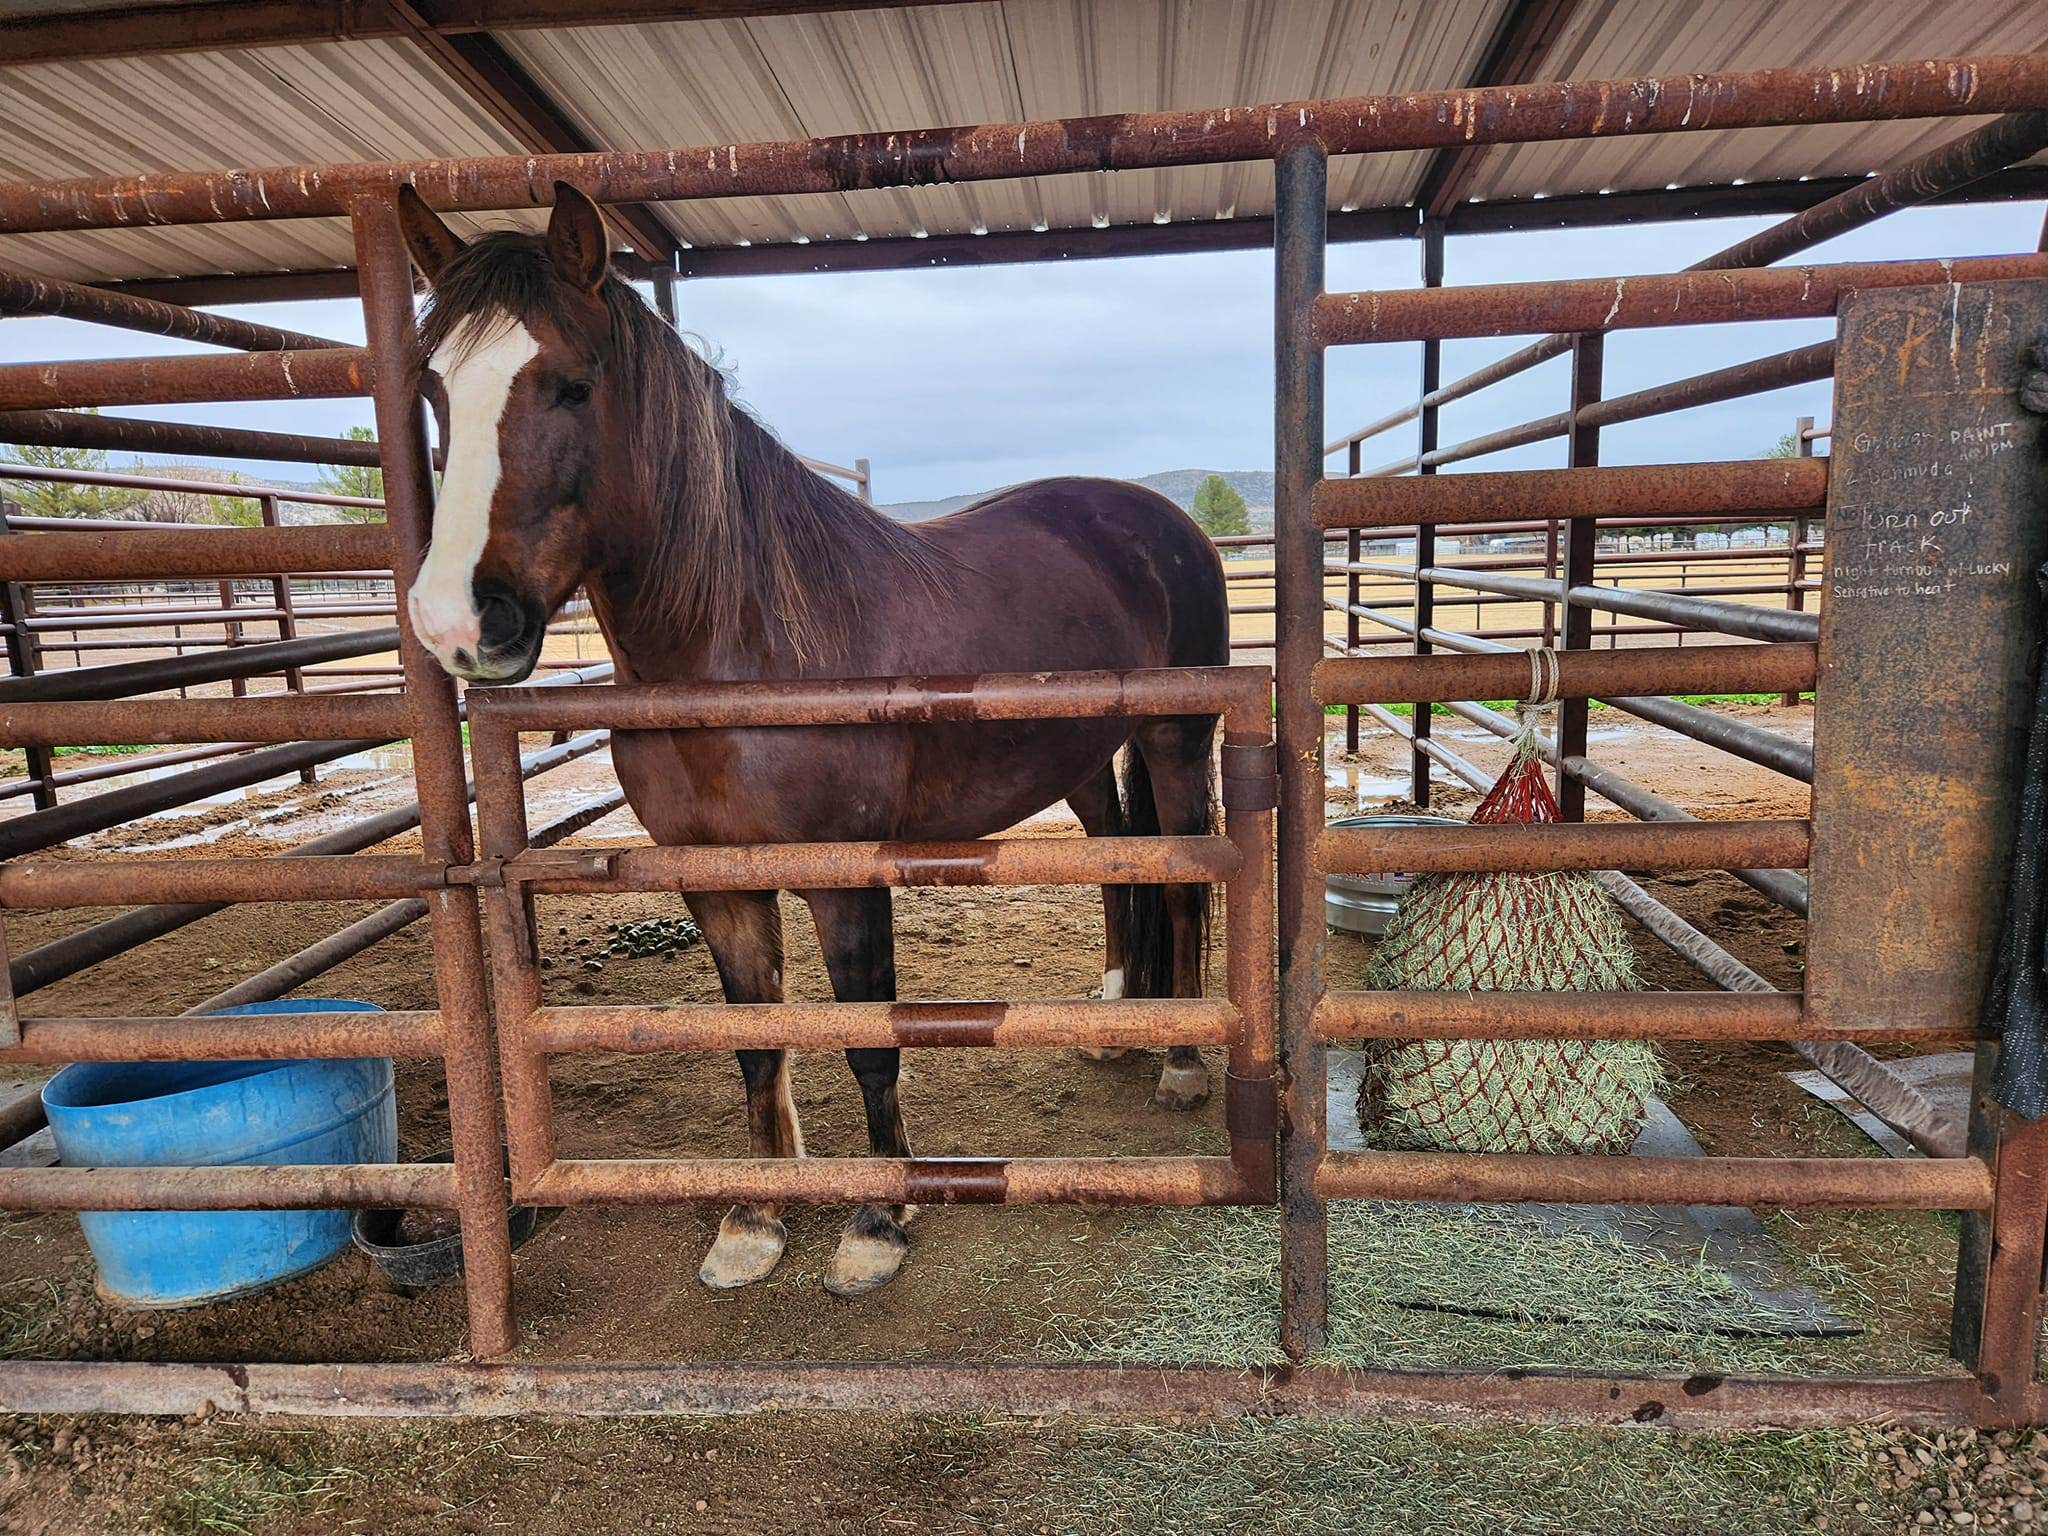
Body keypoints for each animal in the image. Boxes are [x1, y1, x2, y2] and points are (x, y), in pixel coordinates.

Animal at [395, 183, 1229, 1298]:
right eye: (436, 392)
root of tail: (1154, 518)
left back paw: (1181, 1061)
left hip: (1177, 741)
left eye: (570, 386)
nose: (456, 623)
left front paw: (877, 1222)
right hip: (1086, 757)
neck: (743, 655)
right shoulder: (715, 880)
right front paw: (753, 1219)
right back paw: (1117, 1024)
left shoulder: (845, 877)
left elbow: (867, 1040)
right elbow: (757, 1044)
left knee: (1180, 885)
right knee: (1116, 865)